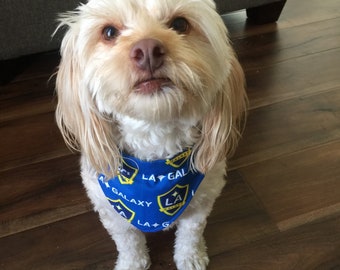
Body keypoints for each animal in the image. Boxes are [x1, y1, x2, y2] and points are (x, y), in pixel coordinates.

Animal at [55, 0, 247, 270]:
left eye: (180, 24)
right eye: (109, 32)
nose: (147, 50)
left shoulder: (202, 200)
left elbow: (191, 232)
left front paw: (190, 256)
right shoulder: (114, 214)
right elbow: (128, 242)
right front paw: (132, 263)